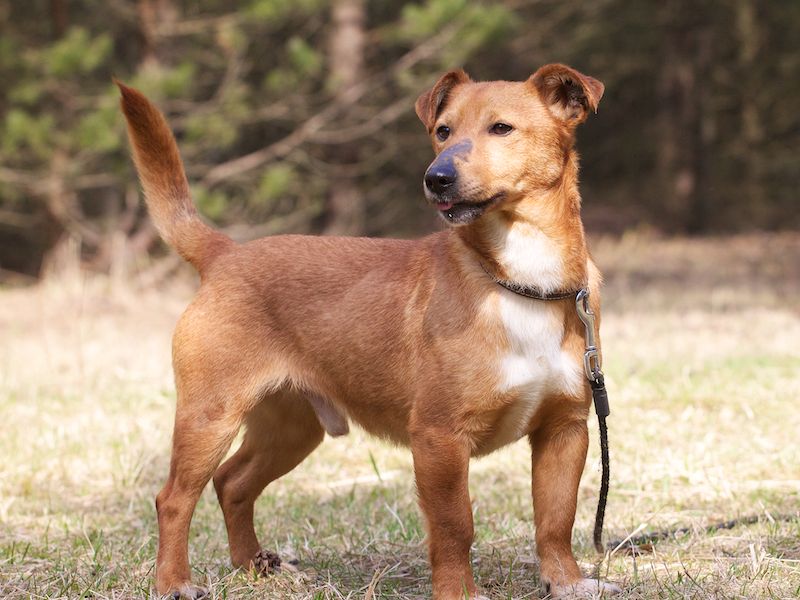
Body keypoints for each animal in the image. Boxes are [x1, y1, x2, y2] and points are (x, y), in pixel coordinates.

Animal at [118, 62, 620, 599]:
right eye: (443, 132)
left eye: (501, 128)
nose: (436, 178)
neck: (521, 280)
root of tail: (225, 255)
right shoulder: (439, 438)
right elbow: (454, 526)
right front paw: (459, 592)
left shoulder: (564, 430)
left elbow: (555, 520)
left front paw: (567, 582)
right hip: (210, 418)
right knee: (173, 499)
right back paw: (174, 581)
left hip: (291, 428)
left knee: (233, 483)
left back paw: (252, 565)